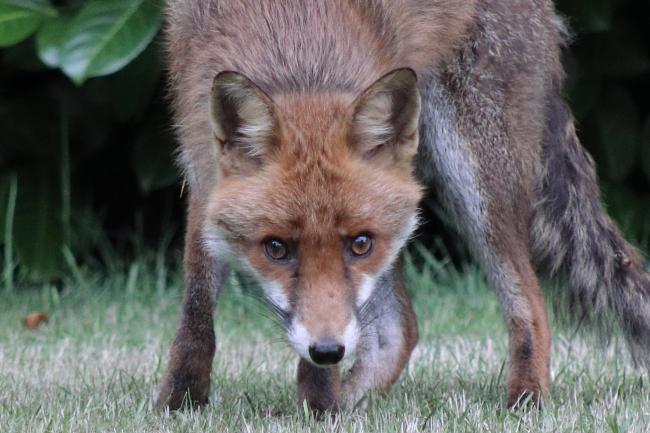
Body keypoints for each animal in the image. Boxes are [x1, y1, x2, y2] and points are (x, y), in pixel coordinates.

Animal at [156, 0, 650, 412]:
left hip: (474, 176)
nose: (327, 350)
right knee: (401, 331)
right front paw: (179, 404)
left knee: (529, 304)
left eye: (359, 244)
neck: (293, 39)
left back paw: (525, 401)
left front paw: (318, 407)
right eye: (276, 248)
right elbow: (196, 313)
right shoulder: (202, 175)